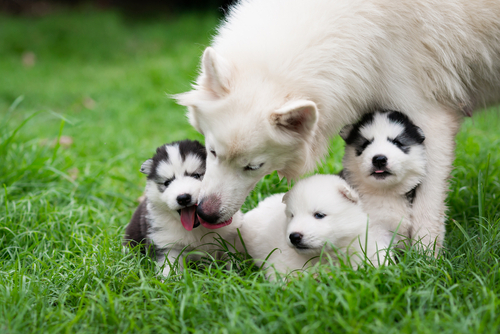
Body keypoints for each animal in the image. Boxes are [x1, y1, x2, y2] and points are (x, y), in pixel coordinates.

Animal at [124, 140, 242, 276]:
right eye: (167, 183)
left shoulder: (229, 238)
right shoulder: (167, 245)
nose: (183, 198)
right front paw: (169, 280)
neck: (197, 229)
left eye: (196, 175)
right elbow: (168, 267)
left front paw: (235, 275)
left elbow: (231, 259)